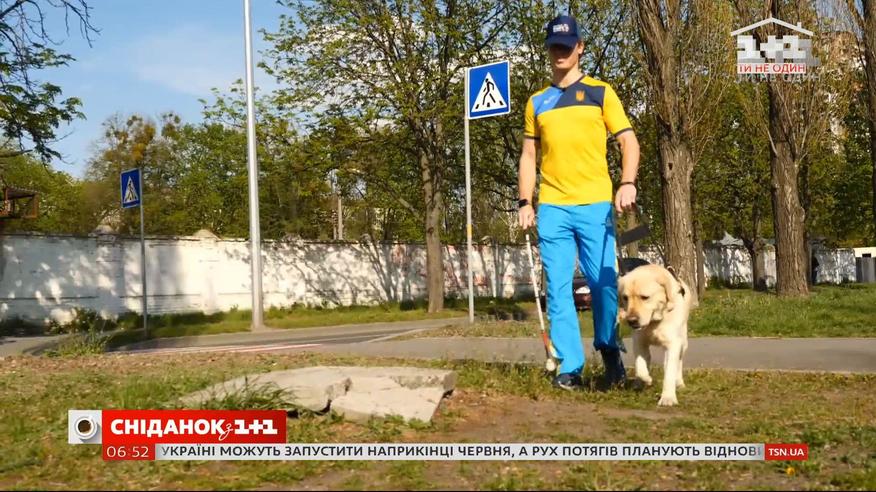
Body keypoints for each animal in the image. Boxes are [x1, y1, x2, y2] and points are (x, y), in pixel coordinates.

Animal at [617, 264, 693, 406]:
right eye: (625, 298)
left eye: (645, 297)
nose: (631, 321)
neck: (654, 322)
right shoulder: (639, 342)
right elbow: (640, 366)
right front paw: (646, 379)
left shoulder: (673, 344)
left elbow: (669, 372)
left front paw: (668, 398)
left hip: (683, 343)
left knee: (678, 363)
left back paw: (679, 382)